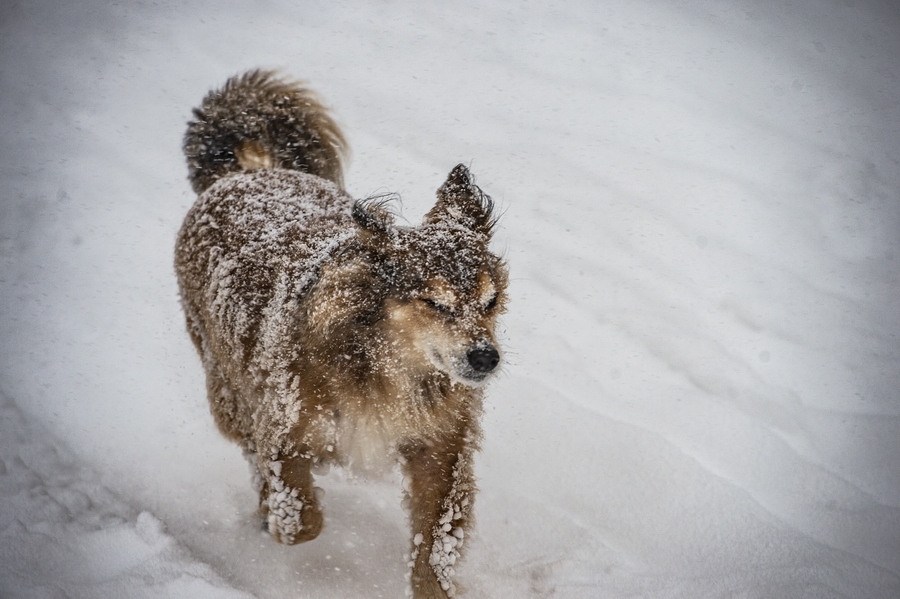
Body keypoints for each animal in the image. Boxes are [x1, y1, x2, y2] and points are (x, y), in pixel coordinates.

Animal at [171, 68, 506, 596]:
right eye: (433, 302)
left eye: (491, 301)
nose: (485, 357)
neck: (384, 366)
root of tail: (241, 174)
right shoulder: (283, 430)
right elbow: (300, 520)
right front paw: (279, 520)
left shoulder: (442, 450)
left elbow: (434, 545)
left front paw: (433, 584)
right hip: (227, 391)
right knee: (250, 450)